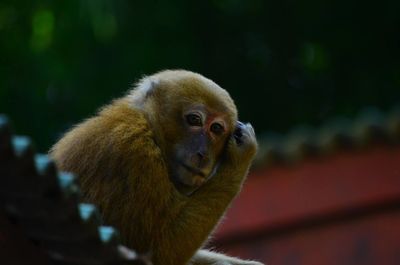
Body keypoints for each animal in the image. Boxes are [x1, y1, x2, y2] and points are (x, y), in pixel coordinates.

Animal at [50, 69, 260, 262]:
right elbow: (160, 250)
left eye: (216, 128)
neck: (151, 129)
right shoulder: (134, 151)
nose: (202, 154)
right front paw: (242, 155)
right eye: (194, 119)